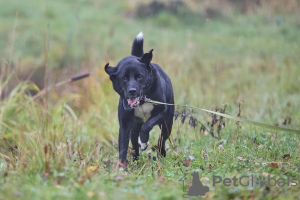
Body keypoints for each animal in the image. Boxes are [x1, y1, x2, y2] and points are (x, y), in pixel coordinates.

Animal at [105, 31, 175, 166]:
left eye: (139, 76)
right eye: (124, 78)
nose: (132, 91)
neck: (142, 101)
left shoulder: (161, 111)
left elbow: (147, 125)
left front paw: (143, 141)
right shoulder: (125, 123)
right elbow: (123, 145)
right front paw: (122, 166)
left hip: (167, 124)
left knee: (161, 140)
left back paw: (161, 156)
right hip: (134, 128)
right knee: (134, 143)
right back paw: (136, 160)